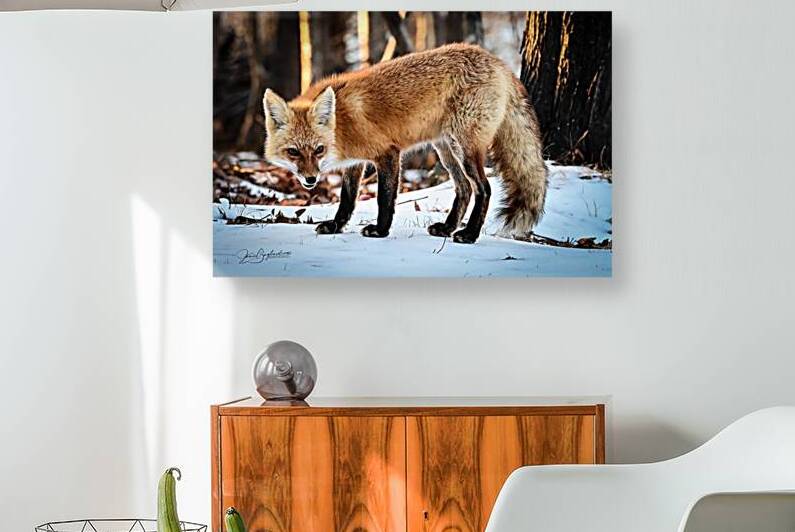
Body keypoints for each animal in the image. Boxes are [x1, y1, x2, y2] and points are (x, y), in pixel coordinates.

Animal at [262, 43, 547, 244]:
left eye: (318, 149)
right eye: (293, 152)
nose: (310, 179)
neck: (341, 122)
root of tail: (498, 62)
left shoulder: (387, 153)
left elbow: (384, 198)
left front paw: (380, 230)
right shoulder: (356, 163)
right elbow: (347, 199)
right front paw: (335, 226)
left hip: (465, 148)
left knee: (484, 189)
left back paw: (469, 234)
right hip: (446, 150)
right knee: (464, 188)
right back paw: (448, 227)